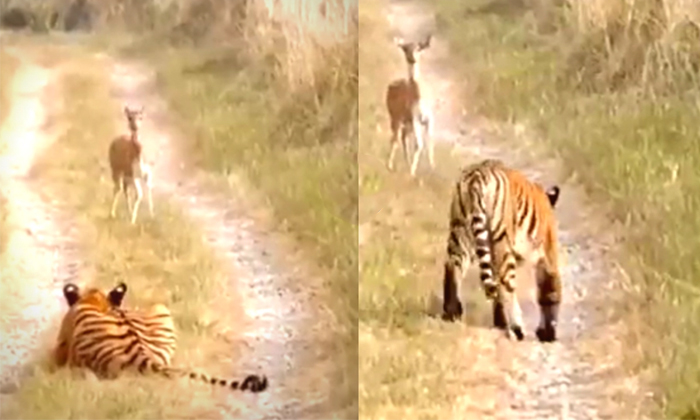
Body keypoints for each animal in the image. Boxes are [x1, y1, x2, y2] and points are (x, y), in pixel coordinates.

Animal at [385, 34, 434, 177]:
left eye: (418, 48)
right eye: (405, 49)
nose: (412, 59)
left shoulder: (429, 119)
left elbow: (429, 142)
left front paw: (432, 168)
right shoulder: (416, 119)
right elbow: (419, 144)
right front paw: (412, 173)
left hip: (407, 123)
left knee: (403, 137)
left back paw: (405, 163)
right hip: (396, 119)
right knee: (395, 138)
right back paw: (390, 165)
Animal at [441, 158, 562, 343]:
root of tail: (476, 177)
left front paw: (499, 321)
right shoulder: (547, 256)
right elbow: (550, 291)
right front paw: (548, 332)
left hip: (460, 232)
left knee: (452, 266)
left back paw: (451, 313)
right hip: (502, 242)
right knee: (506, 283)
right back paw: (517, 328)